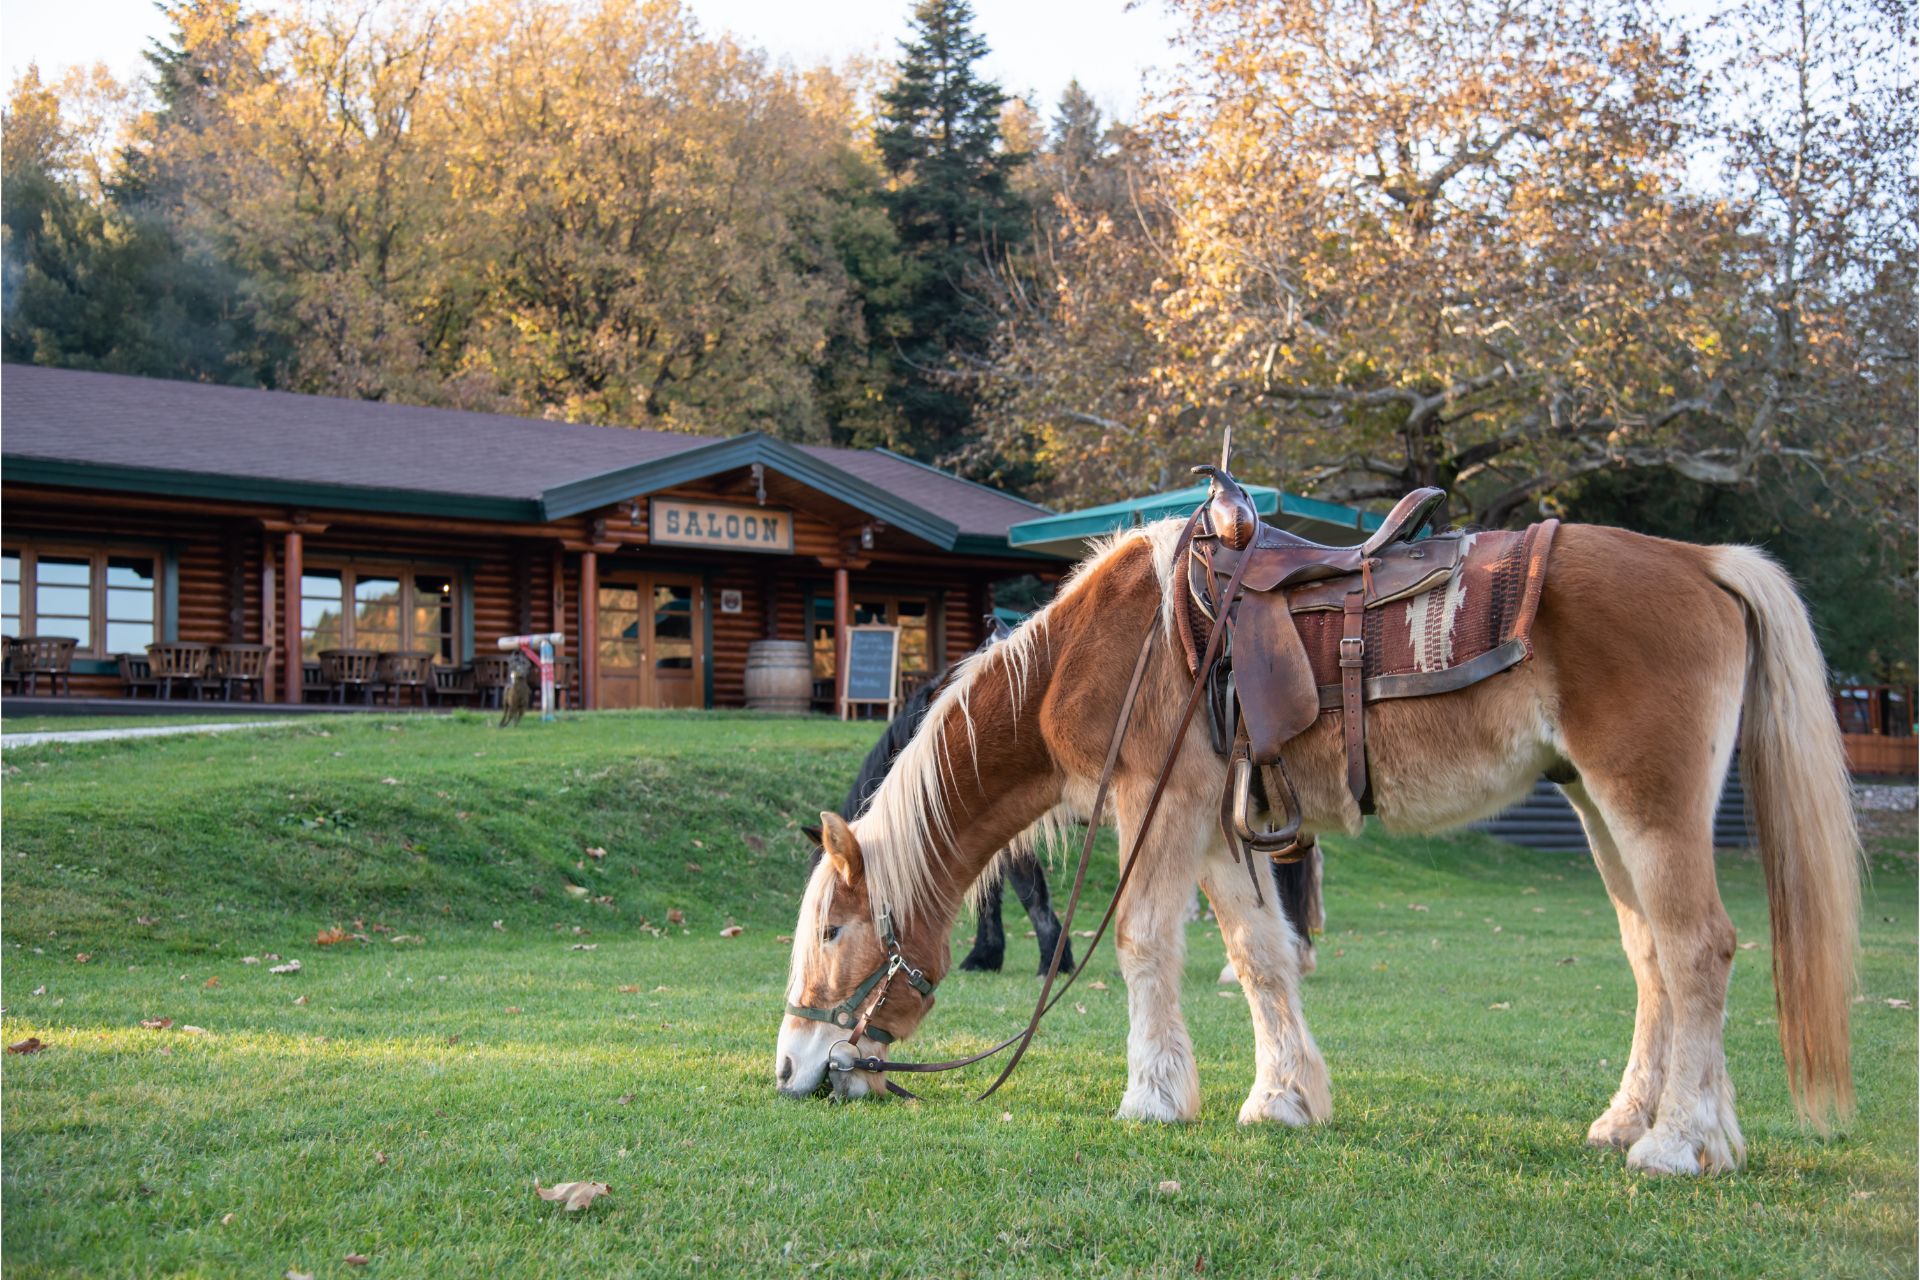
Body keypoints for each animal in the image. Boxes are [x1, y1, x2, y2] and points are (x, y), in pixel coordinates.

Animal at [779, 514, 1858, 1174]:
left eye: (832, 932)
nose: (789, 1069)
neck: (1097, 650)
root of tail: (1703, 561)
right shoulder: (1221, 826)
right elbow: (1261, 954)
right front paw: (1282, 1098)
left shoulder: (1158, 803)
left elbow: (1140, 942)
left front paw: (1153, 1095)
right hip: (1599, 808)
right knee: (1652, 960)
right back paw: (1653, 1119)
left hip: (1648, 803)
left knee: (1698, 948)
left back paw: (1678, 1142)